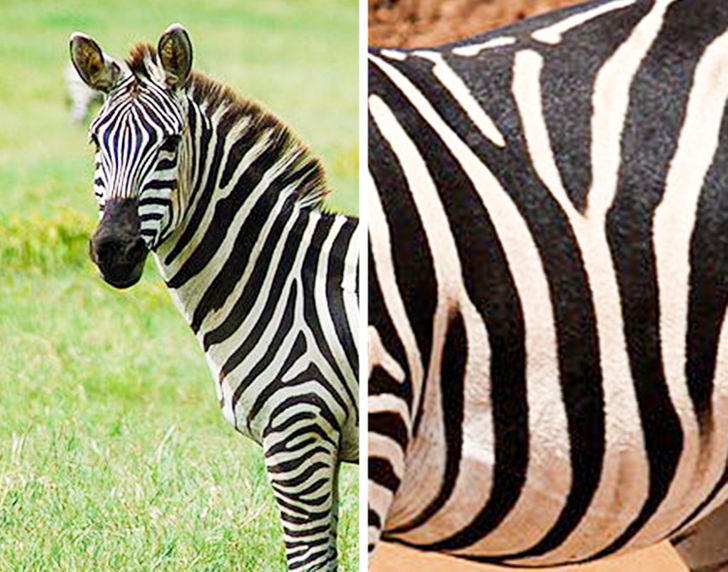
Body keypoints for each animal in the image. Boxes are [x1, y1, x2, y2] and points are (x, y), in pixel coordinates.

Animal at [69, 24, 358, 571]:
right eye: (96, 141)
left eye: (170, 143)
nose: (114, 250)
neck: (283, 274)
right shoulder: (321, 443)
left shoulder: (298, 435)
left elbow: (309, 559)